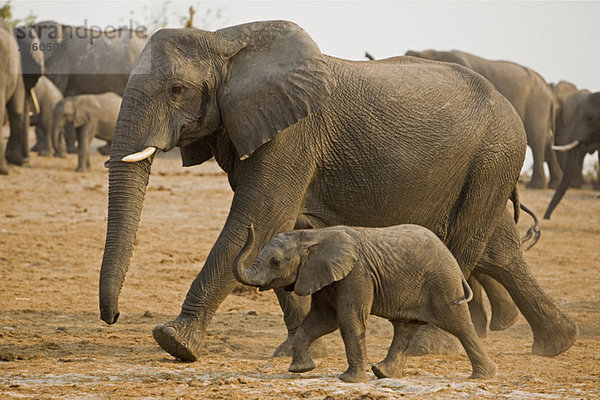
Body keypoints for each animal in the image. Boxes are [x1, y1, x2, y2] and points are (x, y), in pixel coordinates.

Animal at [233, 223, 496, 382]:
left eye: (275, 262)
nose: (250, 226)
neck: (313, 235)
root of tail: (454, 263)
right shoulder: (323, 276)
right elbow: (322, 321)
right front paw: (301, 369)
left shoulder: (356, 274)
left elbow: (348, 319)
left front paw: (348, 380)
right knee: (404, 328)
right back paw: (383, 373)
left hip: (443, 284)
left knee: (458, 325)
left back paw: (484, 376)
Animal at [406, 48, 564, 189]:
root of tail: (549, 92)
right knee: (546, 141)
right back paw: (553, 185)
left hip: (537, 106)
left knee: (537, 141)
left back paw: (535, 186)